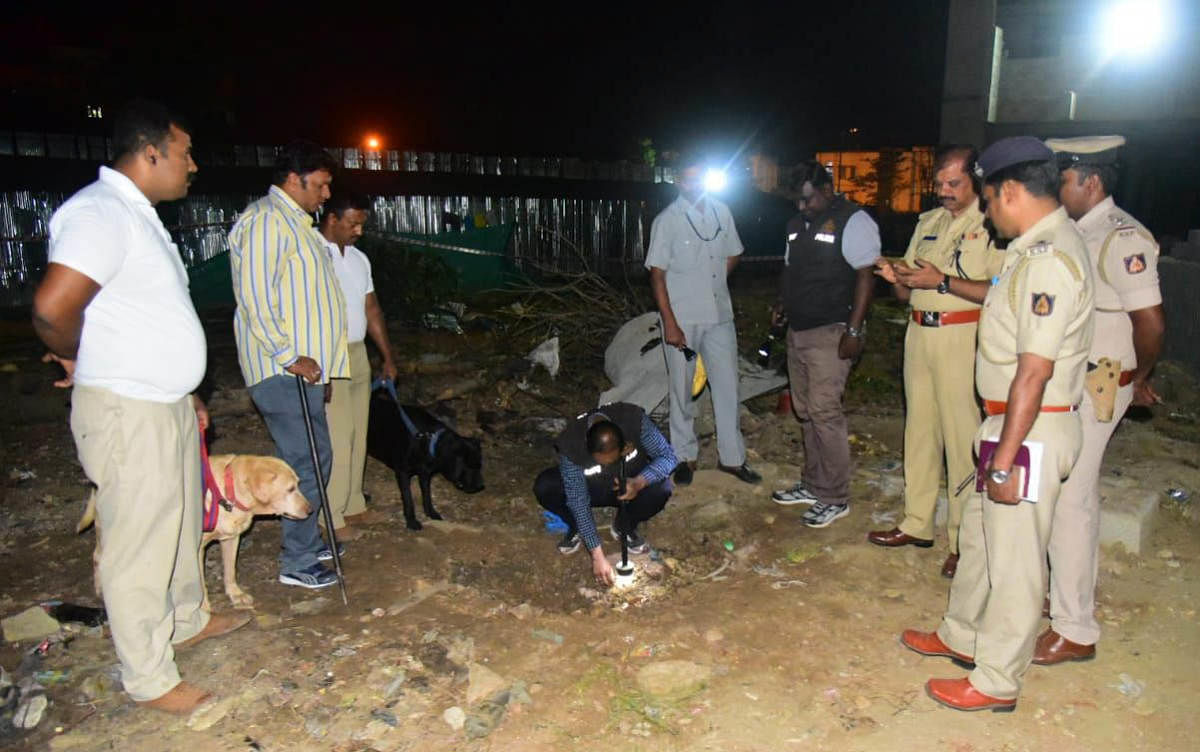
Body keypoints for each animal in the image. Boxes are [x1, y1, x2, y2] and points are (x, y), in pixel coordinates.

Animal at [78, 453, 312, 611]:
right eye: (290, 489)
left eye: (298, 484)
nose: (310, 510)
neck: (226, 492)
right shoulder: (195, 548)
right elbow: (200, 582)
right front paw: (203, 607)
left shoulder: (231, 538)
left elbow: (230, 571)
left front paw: (235, 594)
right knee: (97, 556)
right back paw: (100, 590)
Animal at [364, 390, 482, 532]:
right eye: (468, 467)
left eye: (479, 466)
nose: (481, 486)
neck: (429, 440)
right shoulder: (403, 473)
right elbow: (408, 499)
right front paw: (411, 522)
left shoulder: (425, 474)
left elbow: (427, 495)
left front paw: (431, 513)